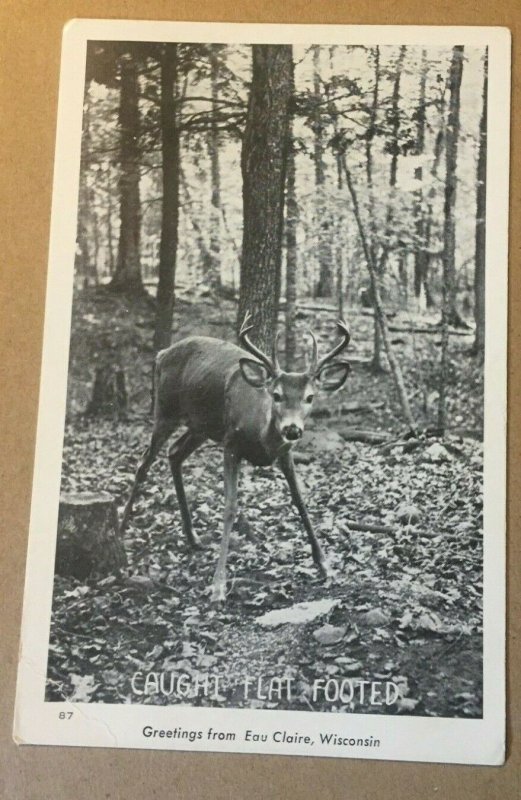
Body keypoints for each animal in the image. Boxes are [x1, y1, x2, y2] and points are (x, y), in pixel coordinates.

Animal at [120, 312, 352, 600]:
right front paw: (218, 584)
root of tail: (162, 354)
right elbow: (230, 507)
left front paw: (325, 565)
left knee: (175, 453)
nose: (292, 429)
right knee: (144, 462)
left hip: (201, 426)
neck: (261, 432)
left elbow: (300, 501)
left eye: (310, 397)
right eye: (276, 395)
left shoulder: (285, 454)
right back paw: (121, 529)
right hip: (165, 410)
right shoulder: (231, 444)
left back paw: (193, 537)